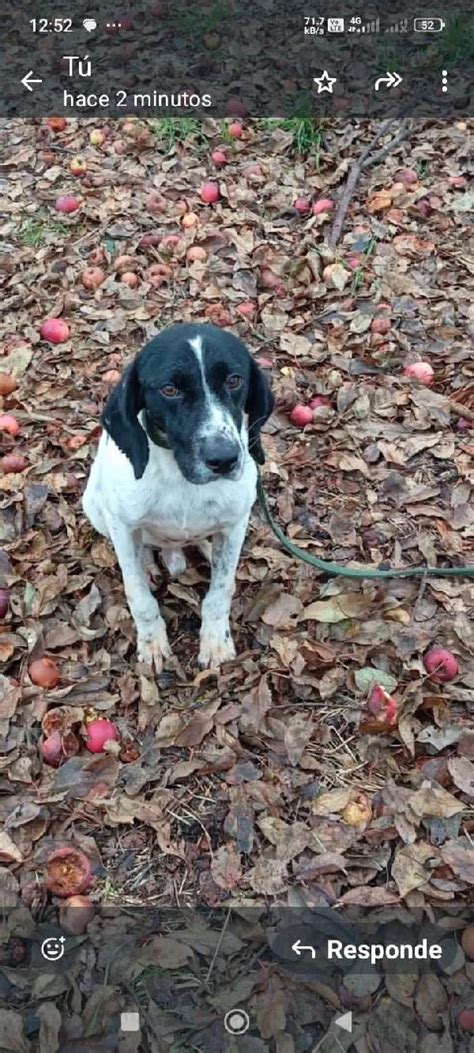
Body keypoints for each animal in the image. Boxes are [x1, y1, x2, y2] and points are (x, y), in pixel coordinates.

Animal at [83, 318, 271, 665]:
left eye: (234, 380)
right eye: (170, 389)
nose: (224, 459)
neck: (181, 480)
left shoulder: (237, 521)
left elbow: (221, 591)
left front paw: (215, 640)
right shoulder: (121, 524)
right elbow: (138, 594)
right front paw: (152, 642)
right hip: (94, 506)